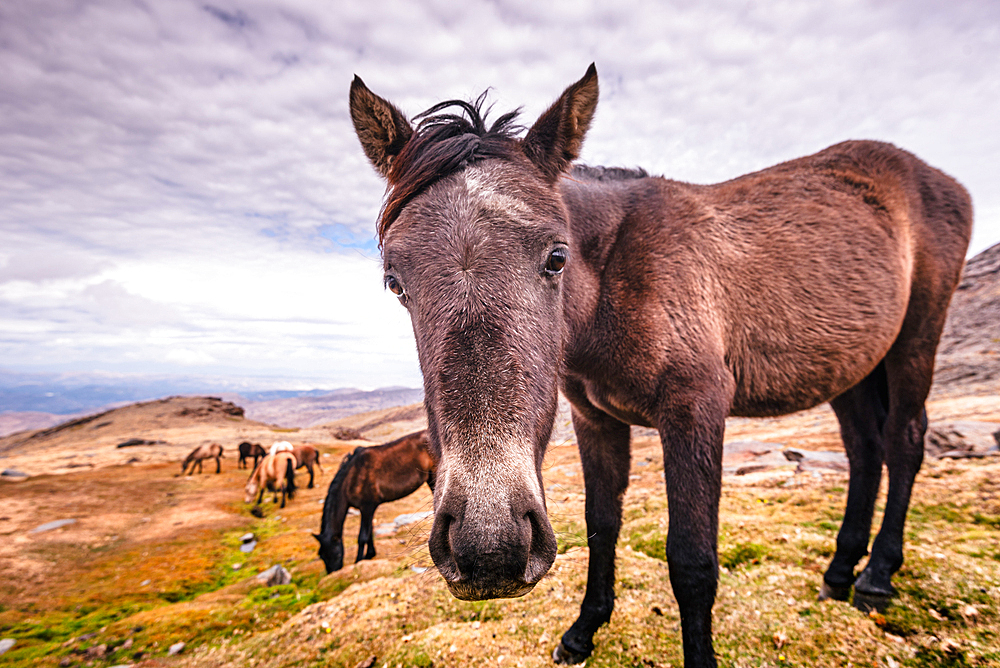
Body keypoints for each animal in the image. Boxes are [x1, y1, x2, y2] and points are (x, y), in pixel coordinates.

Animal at [314, 430, 436, 576]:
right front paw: (370, 554)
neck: (351, 479)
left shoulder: (367, 507)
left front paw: (358, 561)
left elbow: (362, 536)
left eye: (336, 554)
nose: (333, 573)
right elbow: (370, 532)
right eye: (322, 556)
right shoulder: (368, 509)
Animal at [348, 64, 972, 668]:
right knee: (865, 451)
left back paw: (876, 577)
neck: (615, 276)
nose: (489, 548)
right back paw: (840, 573)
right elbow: (602, 526)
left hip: (915, 340)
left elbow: (692, 559)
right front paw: (583, 632)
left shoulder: (695, 410)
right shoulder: (594, 419)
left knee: (904, 440)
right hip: (851, 367)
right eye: (395, 282)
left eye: (557, 257)